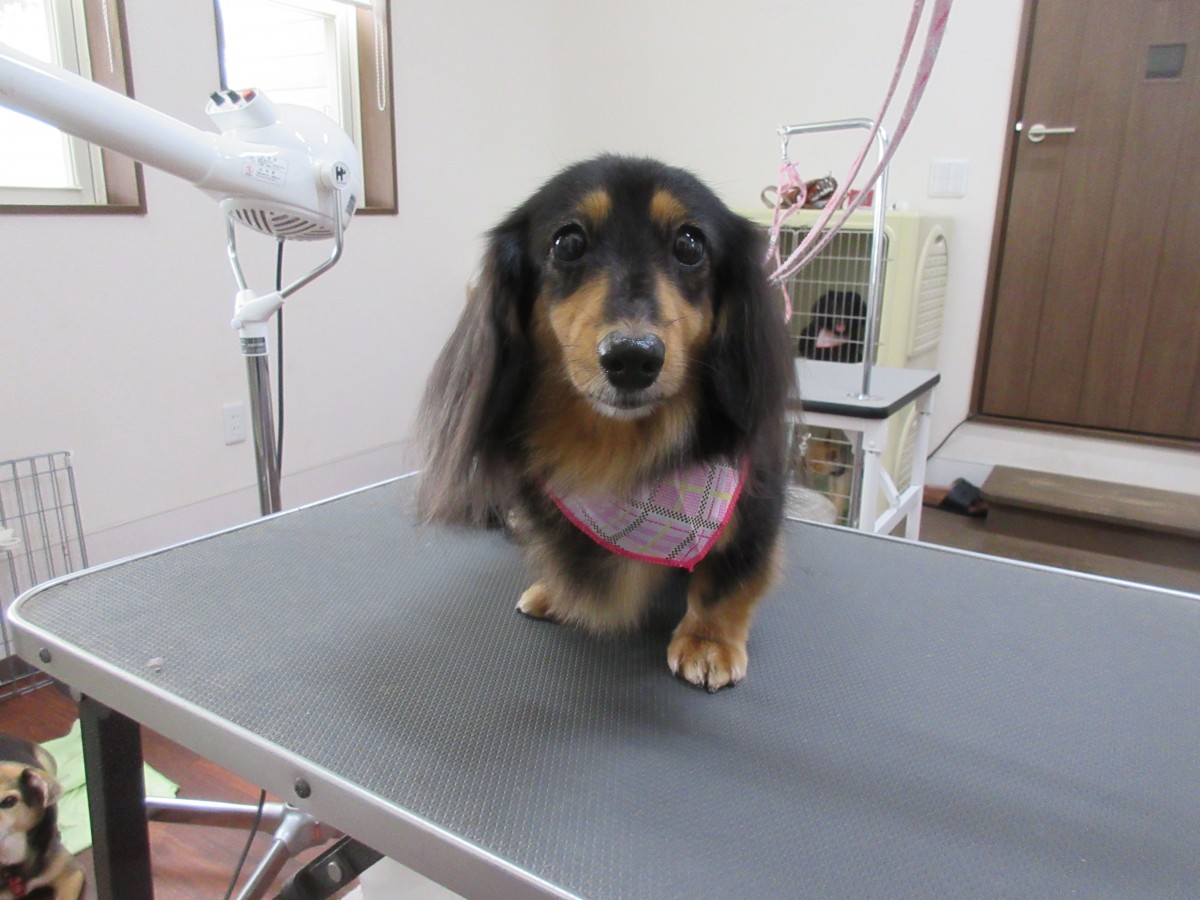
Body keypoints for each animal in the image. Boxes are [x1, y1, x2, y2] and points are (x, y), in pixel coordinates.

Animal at [417, 155, 794, 691]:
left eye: (690, 244)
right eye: (567, 242)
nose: (632, 358)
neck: (620, 446)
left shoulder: (757, 501)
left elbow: (727, 579)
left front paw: (708, 641)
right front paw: (558, 591)